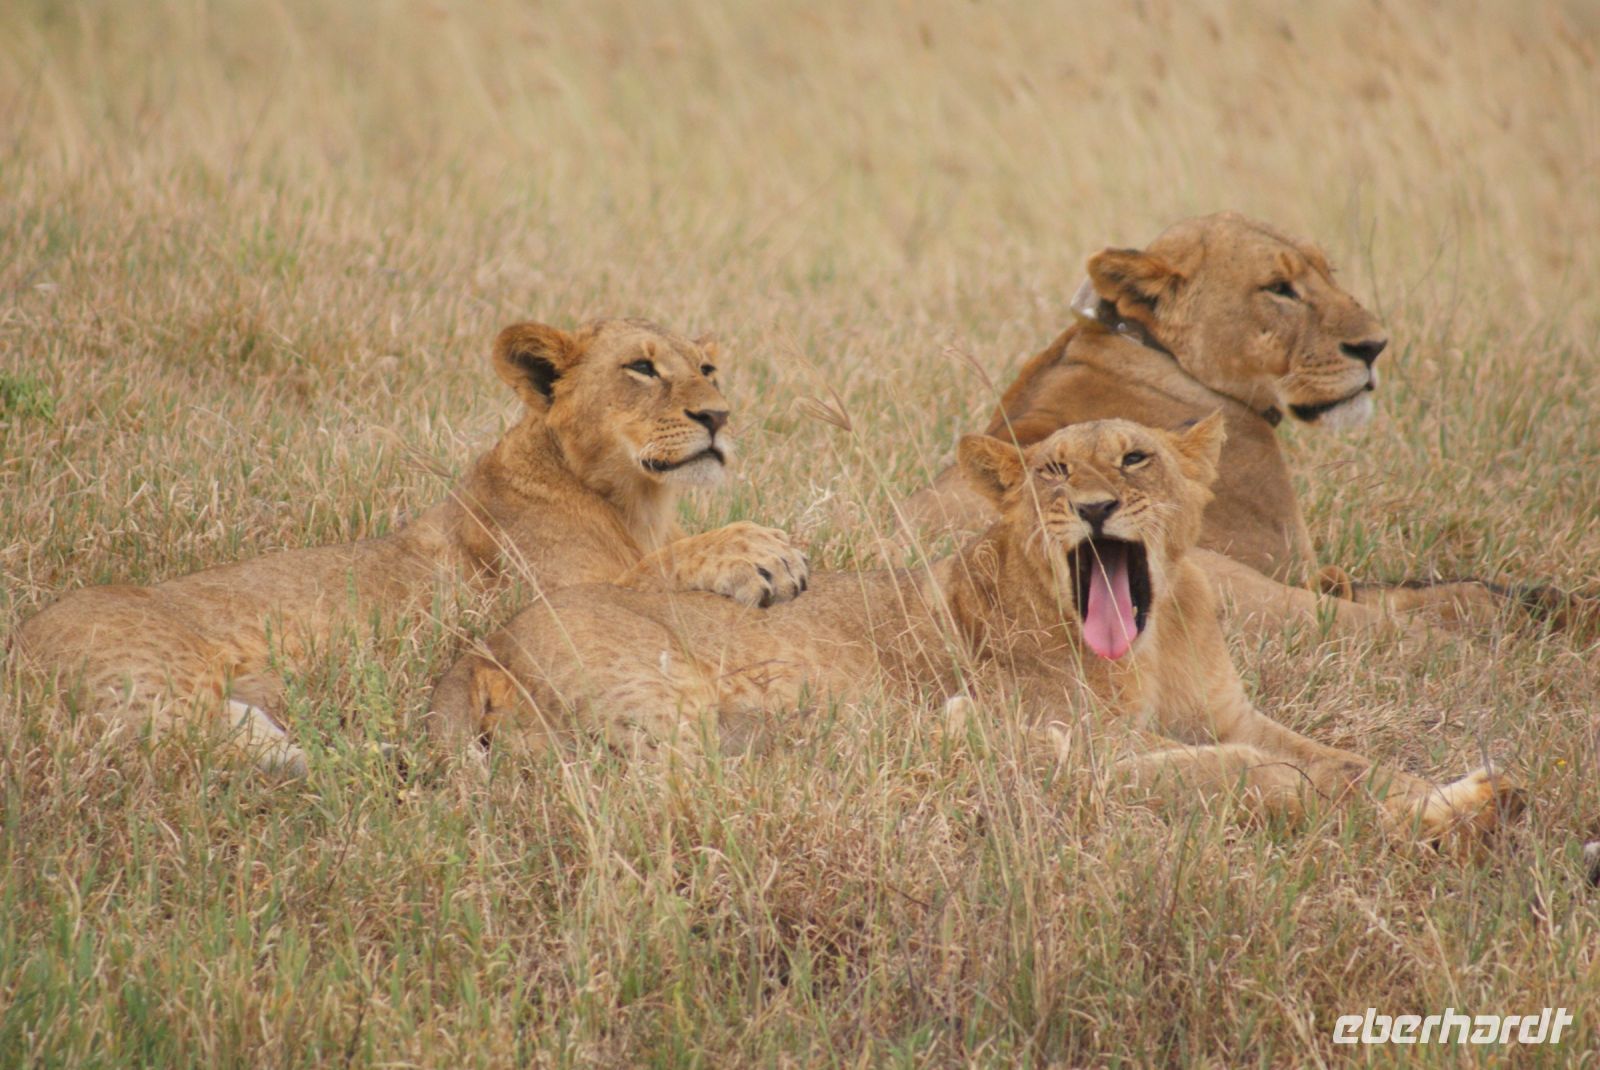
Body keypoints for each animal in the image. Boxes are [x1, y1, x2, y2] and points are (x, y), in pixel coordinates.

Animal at [13, 318, 808, 775]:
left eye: (707, 370)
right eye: (641, 369)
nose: (718, 416)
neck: (634, 503)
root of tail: (15, 647)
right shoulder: (545, 601)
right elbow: (654, 571)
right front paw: (761, 553)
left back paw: (373, 761)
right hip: (162, 681)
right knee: (185, 750)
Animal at [428, 414, 1518, 851]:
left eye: (1136, 456)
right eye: (1051, 471)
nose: (1090, 507)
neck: (1153, 642)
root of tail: (474, 651)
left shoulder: (1232, 711)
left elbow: (1342, 758)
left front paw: (1454, 796)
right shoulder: (1085, 728)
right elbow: (1247, 771)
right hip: (685, 698)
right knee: (678, 799)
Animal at [902, 212, 1580, 638]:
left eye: (1328, 273)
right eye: (1278, 288)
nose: (1375, 347)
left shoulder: (1315, 572)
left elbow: (1430, 582)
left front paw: (1554, 600)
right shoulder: (1287, 567)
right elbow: (1425, 596)